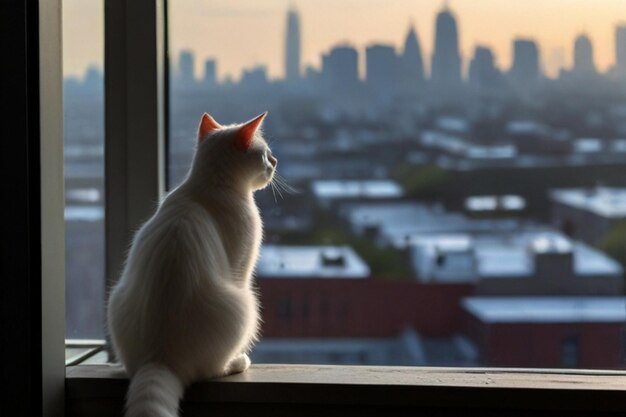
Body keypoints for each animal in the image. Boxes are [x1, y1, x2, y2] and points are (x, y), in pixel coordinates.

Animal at [107, 111, 276, 416]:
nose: (276, 162)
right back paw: (238, 362)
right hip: (244, 303)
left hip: (116, 297)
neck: (208, 184)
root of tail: (160, 358)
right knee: (210, 370)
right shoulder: (242, 266)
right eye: (265, 154)